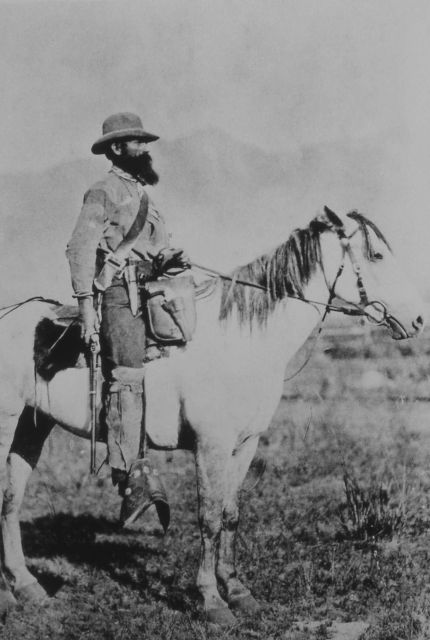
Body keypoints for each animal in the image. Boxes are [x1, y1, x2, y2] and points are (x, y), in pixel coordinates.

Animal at [0, 207, 425, 626]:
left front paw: (237, 590)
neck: (240, 339)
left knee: (11, 498)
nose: (419, 319)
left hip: (31, 427)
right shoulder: (211, 445)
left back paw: (26, 586)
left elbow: (231, 514)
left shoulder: (245, 444)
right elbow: (209, 517)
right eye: (377, 255)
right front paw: (211, 600)